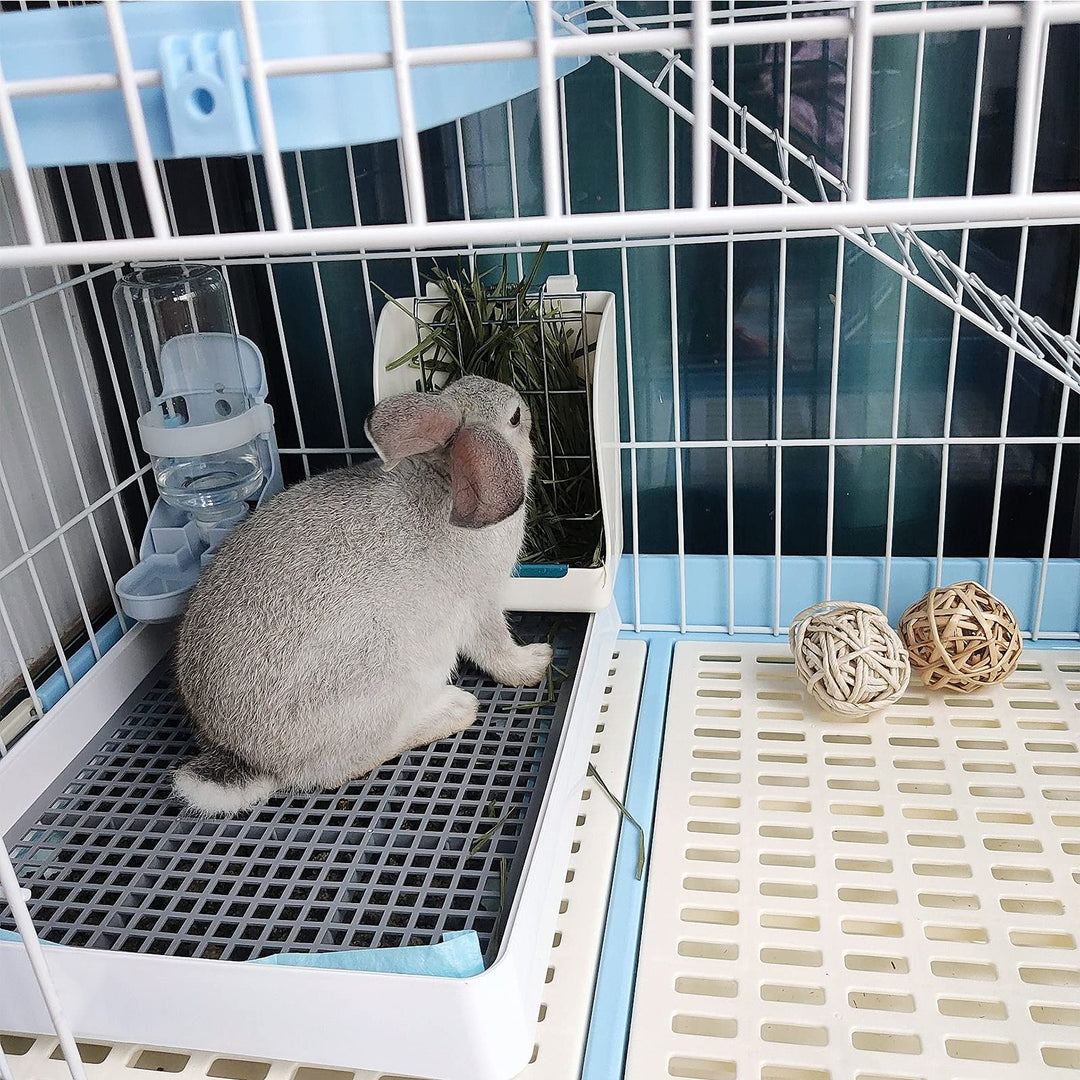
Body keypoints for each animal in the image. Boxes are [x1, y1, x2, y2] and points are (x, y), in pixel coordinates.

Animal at [171, 375, 552, 816]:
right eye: (516, 417)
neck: (443, 476)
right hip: (390, 683)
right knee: (353, 761)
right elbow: (496, 649)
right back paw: (456, 709)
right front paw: (536, 662)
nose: (524, 402)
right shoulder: (482, 604)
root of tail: (248, 757)